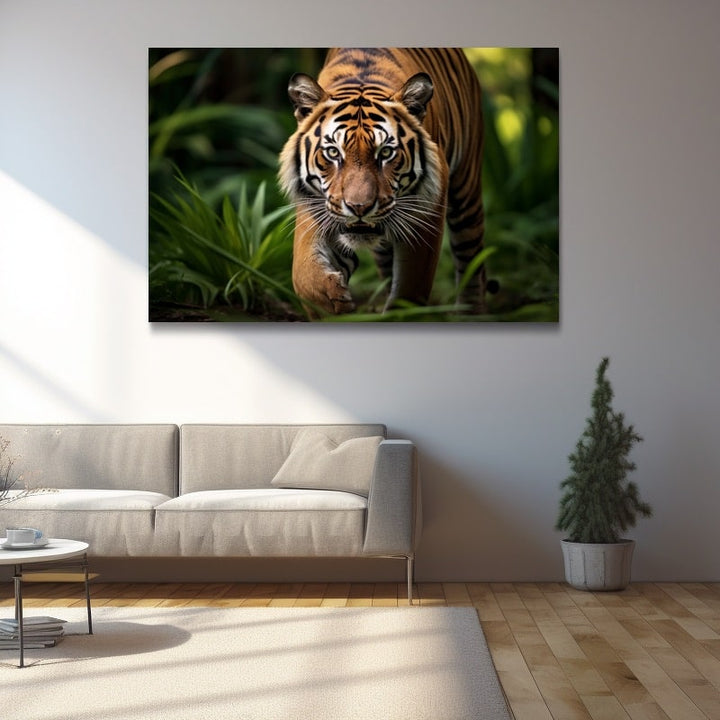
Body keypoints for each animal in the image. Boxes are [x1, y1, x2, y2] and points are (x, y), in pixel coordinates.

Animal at [278, 47, 486, 317]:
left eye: (386, 152)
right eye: (333, 152)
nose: (359, 208)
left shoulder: (426, 211)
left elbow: (410, 288)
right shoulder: (314, 205)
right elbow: (304, 276)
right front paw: (333, 303)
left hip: (466, 196)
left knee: (471, 262)